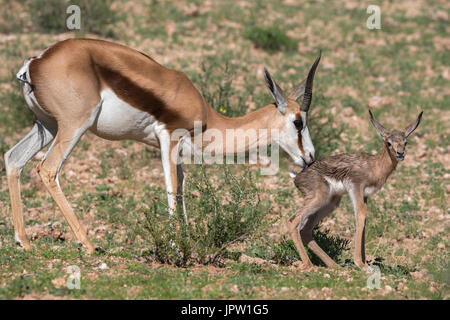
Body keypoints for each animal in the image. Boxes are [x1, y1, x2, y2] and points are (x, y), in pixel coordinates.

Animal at [4, 38, 320, 252]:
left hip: (47, 125)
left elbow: (181, 192)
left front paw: (187, 243)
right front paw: (175, 247)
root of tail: (36, 62)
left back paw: (24, 241)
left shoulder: (178, 153)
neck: (207, 116)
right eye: (298, 122)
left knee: (13, 158)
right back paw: (88, 245)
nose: (311, 157)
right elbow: (171, 191)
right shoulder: (169, 140)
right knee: (47, 169)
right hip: (73, 126)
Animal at [288, 109, 422, 268]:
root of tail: (297, 177)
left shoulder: (365, 195)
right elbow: (361, 215)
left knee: (306, 229)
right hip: (319, 198)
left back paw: (335, 266)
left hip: (330, 202)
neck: (374, 166)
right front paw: (361, 264)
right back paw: (309, 265)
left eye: (405, 142)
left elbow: (364, 219)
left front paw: (364, 261)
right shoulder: (356, 188)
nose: (400, 153)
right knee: (293, 221)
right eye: (388, 142)